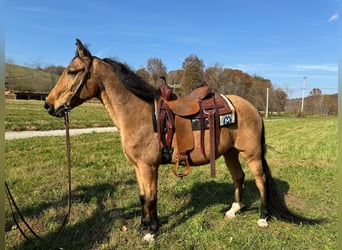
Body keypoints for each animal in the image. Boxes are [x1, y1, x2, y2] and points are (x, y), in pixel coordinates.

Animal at [44, 38, 320, 240]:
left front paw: (152, 232)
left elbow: (151, 198)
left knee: (261, 180)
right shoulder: (138, 167)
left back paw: (263, 217)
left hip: (250, 153)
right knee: (239, 177)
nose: (48, 105)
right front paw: (143, 226)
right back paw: (233, 210)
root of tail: (251, 107)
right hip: (230, 152)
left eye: (72, 72)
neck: (140, 113)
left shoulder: (149, 167)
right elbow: (142, 197)